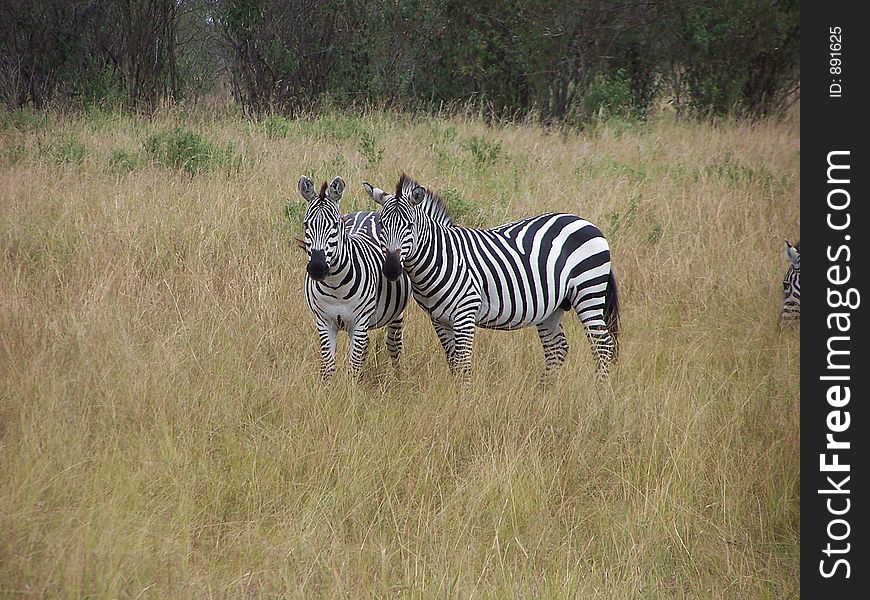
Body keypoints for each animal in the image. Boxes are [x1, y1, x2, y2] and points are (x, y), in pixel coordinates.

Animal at [302, 173, 414, 380]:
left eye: (335, 225)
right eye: (306, 224)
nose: (317, 268)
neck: (335, 285)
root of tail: (366, 212)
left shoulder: (359, 323)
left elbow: (353, 367)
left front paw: (352, 388)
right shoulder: (324, 322)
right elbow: (328, 367)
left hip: (395, 315)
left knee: (394, 346)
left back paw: (398, 378)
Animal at [364, 173, 624, 382]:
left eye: (409, 225)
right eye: (381, 225)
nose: (391, 269)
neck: (442, 257)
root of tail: (585, 222)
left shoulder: (465, 313)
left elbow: (463, 364)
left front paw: (464, 402)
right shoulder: (439, 319)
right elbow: (453, 362)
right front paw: (456, 396)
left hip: (588, 292)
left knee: (602, 346)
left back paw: (600, 395)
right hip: (553, 306)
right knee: (556, 349)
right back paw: (543, 395)